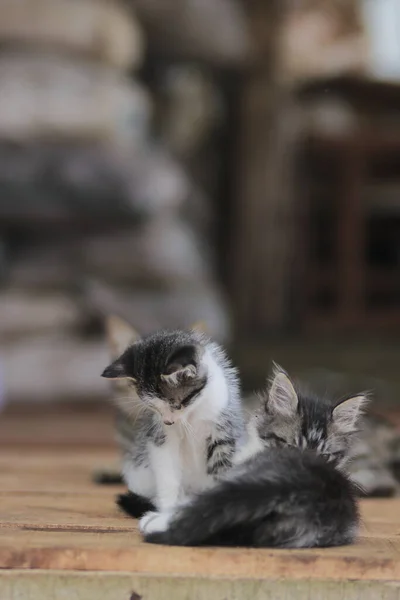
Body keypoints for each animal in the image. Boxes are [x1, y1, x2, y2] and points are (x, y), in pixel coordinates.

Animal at [101, 316, 244, 532]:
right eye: (154, 408)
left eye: (176, 404)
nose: (168, 421)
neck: (193, 413)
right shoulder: (161, 438)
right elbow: (167, 475)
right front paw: (166, 515)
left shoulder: (222, 428)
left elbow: (220, 470)